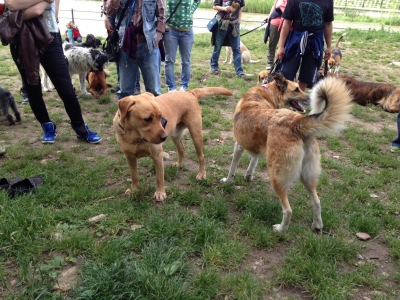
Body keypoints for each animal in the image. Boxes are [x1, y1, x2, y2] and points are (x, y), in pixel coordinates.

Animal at [222, 74, 354, 232]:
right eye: (296, 89)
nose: (309, 98)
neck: (267, 92)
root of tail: (296, 123)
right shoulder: (256, 146)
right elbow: (253, 163)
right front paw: (248, 177)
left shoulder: (239, 146)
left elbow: (232, 168)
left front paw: (227, 181)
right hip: (308, 176)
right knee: (316, 202)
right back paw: (317, 225)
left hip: (277, 177)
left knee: (288, 210)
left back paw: (280, 229)